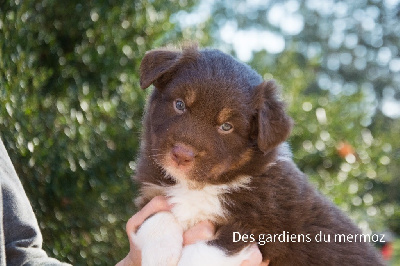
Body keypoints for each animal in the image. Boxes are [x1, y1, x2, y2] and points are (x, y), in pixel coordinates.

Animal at [132, 45, 384, 266]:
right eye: (180, 104)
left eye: (226, 126)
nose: (181, 155)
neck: (202, 186)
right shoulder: (152, 193)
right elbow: (155, 217)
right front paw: (160, 255)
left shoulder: (258, 229)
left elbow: (204, 252)